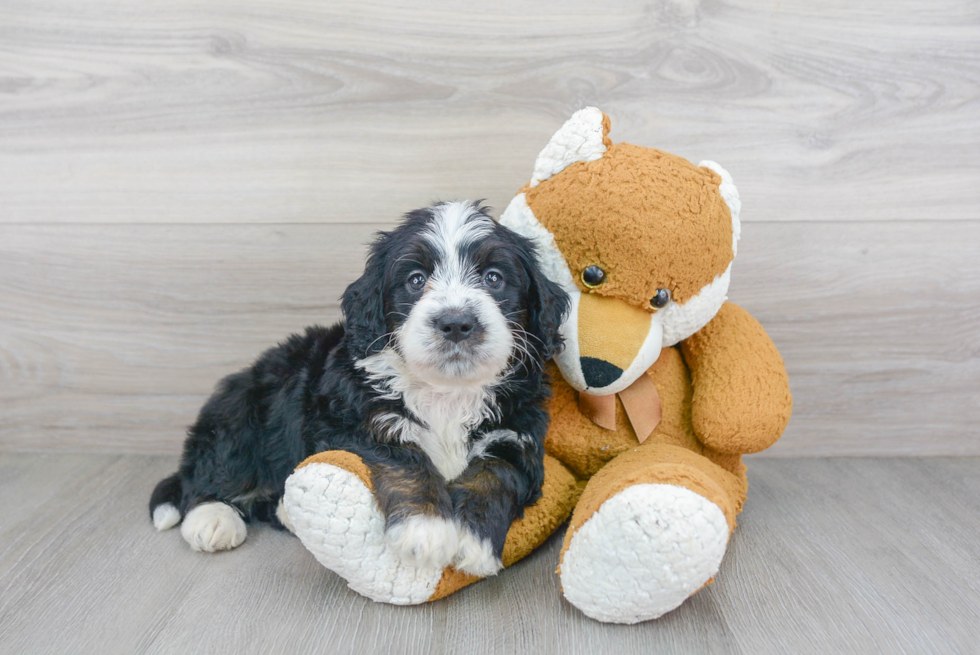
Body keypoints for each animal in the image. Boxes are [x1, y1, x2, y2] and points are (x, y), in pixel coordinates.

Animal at [149, 202, 572, 576]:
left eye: (493, 278)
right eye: (416, 280)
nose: (455, 322)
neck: (446, 392)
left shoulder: (515, 437)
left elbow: (493, 476)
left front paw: (473, 541)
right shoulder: (356, 422)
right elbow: (405, 461)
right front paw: (426, 531)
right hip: (241, 414)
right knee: (208, 478)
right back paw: (213, 519)